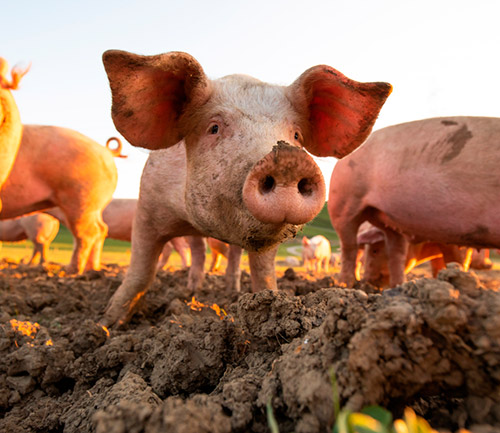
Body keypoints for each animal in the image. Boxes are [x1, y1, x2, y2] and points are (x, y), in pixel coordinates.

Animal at [100, 49, 390, 326]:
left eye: (296, 135)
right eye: (214, 128)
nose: (289, 159)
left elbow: (263, 272)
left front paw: (272, 303)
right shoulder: (147, 206)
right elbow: (140, 270)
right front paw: (108, 324)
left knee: (230, 256)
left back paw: (230, 291)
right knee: (198, 253)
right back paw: (190, 293)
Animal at [328, 116, 500, 288]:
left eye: (375, 251)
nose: (368, 281)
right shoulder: (453, 243)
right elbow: (455, 260)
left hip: (388, 221)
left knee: (395, 252)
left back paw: (396, 286)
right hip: (343, 201)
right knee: (349, 247)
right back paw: (344, 285)